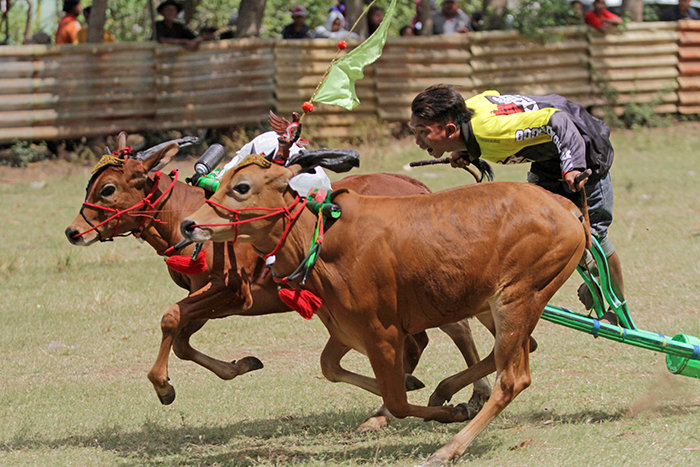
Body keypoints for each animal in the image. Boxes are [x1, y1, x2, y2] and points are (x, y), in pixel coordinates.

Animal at [65, 132, 492, 432]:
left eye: (107, 189)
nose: (73, 232)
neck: (186, 215)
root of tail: (418, 188)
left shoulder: (229, 292)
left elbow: (171, 319)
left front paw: (163, 387)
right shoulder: (209, 298)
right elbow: (183, 341)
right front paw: (240, 365)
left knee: (453, 329)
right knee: (439, 334)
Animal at [180, 155, 584, 466]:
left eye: (241, 187)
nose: (189, 223)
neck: (322, 239)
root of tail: (564, 207)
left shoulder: (383, 334)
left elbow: (397, 401)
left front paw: (440, 410)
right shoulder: (345, 329)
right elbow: (331, 368)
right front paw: (429, 397)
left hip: (517, 299)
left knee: (513, 378)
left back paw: (448, 448)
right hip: (494, 304)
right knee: (512, 355)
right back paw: (446, 390)